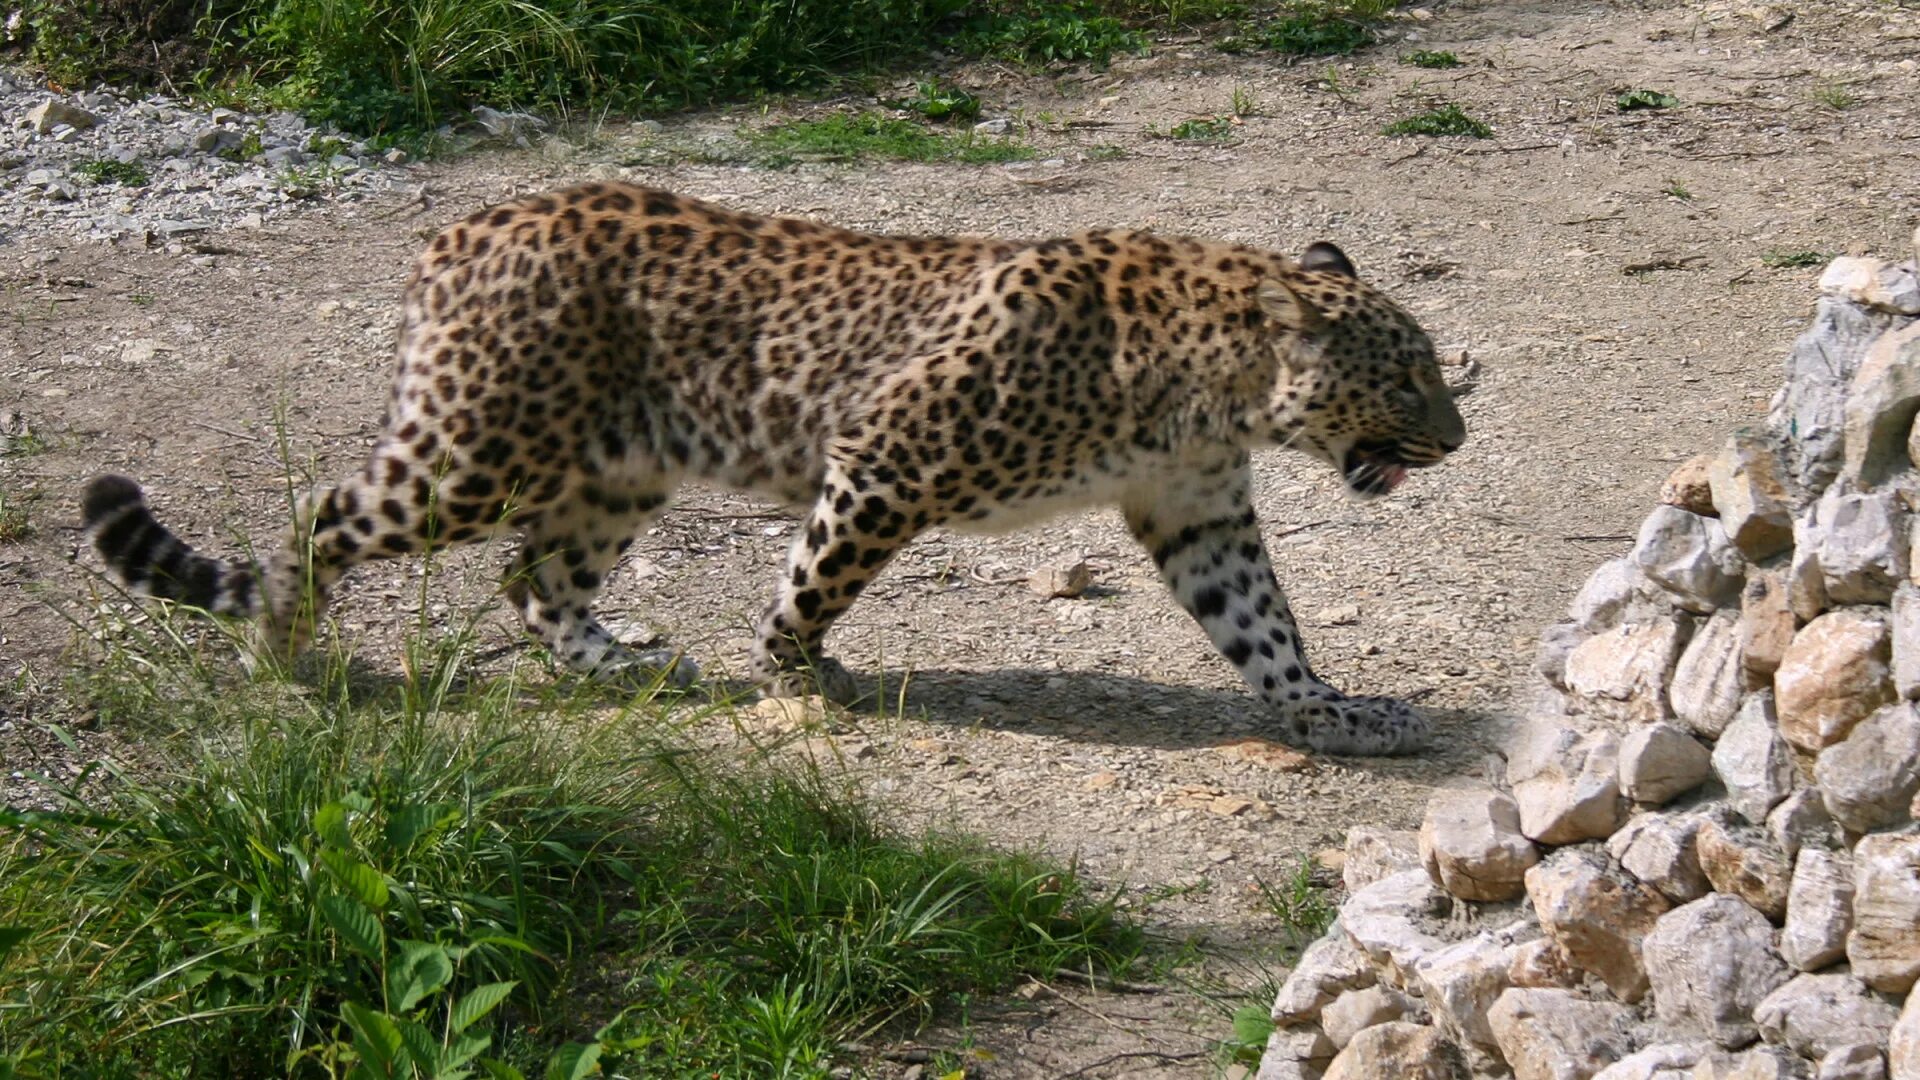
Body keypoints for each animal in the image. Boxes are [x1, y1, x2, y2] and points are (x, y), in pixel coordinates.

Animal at [82, 180, 1459, 753]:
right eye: (1405, 379)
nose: (1454, 439)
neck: (1213, 387)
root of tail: (458, 229)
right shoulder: (887, 454)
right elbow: (814, 582)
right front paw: (796, 672)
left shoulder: (1200, 516)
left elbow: (1264, 627)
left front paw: (1334, 714)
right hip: (474, 454)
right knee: (320, 515)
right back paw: (282, 647)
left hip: (615, 470)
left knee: (535, 581)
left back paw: (624, 665)